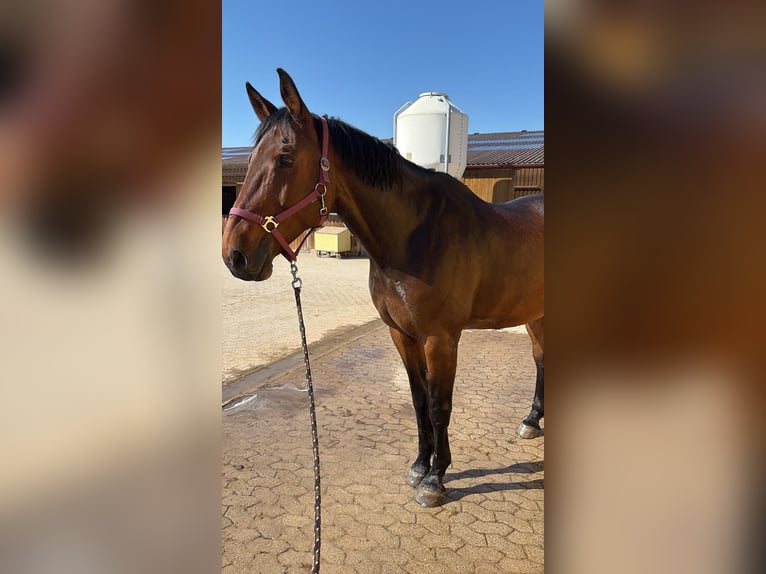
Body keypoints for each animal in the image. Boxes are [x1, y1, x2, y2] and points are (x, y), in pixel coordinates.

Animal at [222, 69, 544, 507]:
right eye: (252, 158)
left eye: (285, 158)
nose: (234, 254)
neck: (415, 235)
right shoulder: (402, 335)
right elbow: (418, 400)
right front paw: (420, 465)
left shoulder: (441, 339)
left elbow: (439, 405)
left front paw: (435, 479)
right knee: (542, 360)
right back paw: (532, 421)